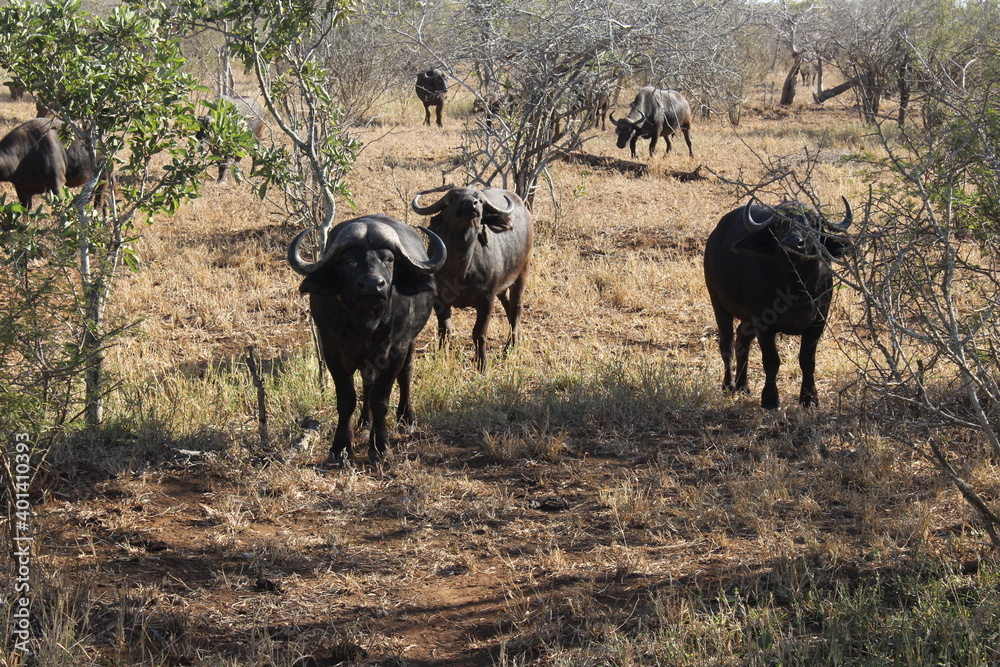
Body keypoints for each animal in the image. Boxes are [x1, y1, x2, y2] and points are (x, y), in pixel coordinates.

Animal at [288, 215, 448, 464]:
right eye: (349, 259)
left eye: (389, 259)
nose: (373, 284)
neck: (366, 322)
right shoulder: (331, 350)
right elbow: (347, 399)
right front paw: (341, 447)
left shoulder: (395, 351)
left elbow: (380, 399)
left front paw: (380, 447)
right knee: (367, 380)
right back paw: (365, 422)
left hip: (410, 343)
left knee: (405, 375)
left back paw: (406, 418)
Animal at [410, 185, 536, 370]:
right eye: (452, 199)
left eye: (480, 200)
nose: (470, 204)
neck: (461, 269)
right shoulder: (440, 300)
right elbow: (445, 331)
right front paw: (442, 358)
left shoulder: (487, 299)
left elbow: (479, 332)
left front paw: (482, 364)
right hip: (503, 286)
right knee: (508, 306)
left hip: (522, 273)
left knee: (516, 307)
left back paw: (509, 348)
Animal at [704, 196, 852, 410]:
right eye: (779, 225)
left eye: (812, 223)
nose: (793, 243)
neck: (796, 286)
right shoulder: (764, 325)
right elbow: (771, 361)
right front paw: (770, 400)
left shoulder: (818, 322)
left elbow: (807, 361)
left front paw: (809, 398)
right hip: (718, 302)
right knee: (728, 344)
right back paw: (729, 385)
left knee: (742, 339)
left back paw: (743, 386)